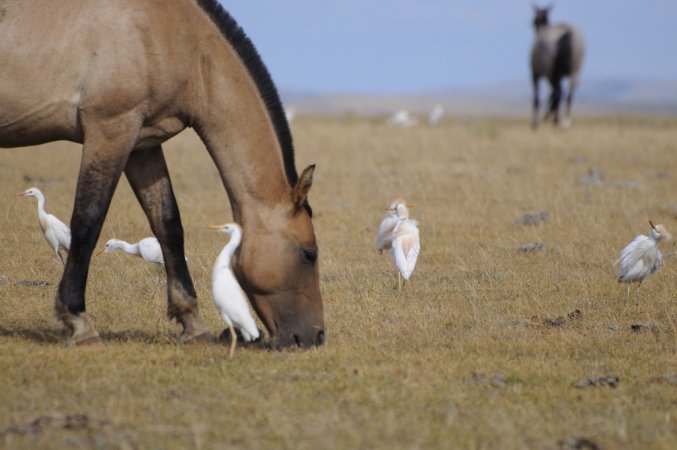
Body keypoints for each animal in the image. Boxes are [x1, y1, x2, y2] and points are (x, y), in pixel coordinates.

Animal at [0, 0, 324, 348]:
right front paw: (77, 320)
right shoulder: (110, 130)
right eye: (309, 254)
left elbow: (168, 224)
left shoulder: (143, 144)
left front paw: (191, 322)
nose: (317, 336)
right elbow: (87, 220)